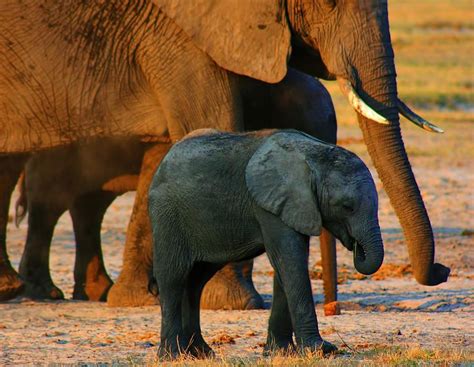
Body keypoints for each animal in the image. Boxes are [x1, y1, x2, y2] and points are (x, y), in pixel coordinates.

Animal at [0, 0, 448, 304]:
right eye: (328, 2)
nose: (441, 271)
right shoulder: (176, 33)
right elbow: (211, 123)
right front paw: (234, 303)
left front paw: (143, 299)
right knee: (51, 200)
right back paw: (33, 292)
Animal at [150, 129, 384, 360]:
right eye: (347, 207)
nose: (356, 246)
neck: (315, 154)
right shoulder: (269, 205)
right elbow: (290, 260)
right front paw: (320, 350)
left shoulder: (292, 206)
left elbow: (288, 264)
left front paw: (280, 352)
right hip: (167, 214)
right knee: (173, 277)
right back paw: (172, 356)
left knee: (195, 282)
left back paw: (200, 354)